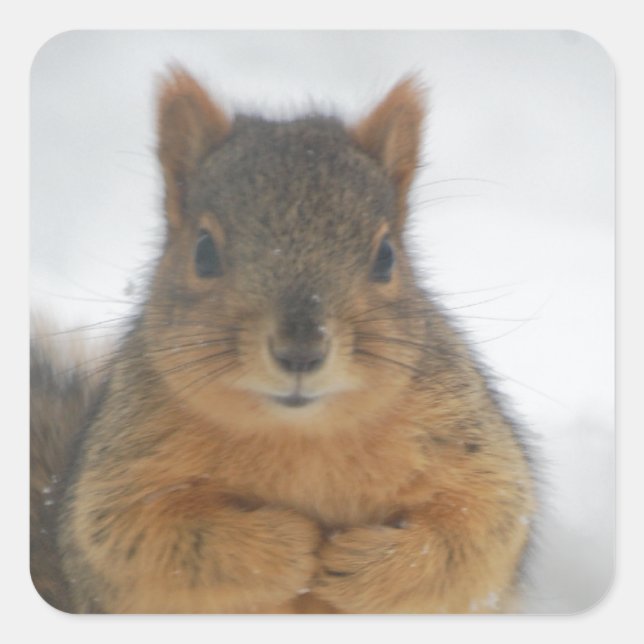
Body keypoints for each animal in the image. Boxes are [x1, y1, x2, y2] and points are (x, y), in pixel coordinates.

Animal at [30, 68, 536, 614]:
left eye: (386, 257)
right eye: (203, 252)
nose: (301, 351)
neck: (303, 436)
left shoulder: (468, 448)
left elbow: (475, 531)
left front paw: (355, 564)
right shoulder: (121, 473)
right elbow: (140, 536)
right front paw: (289, 546)